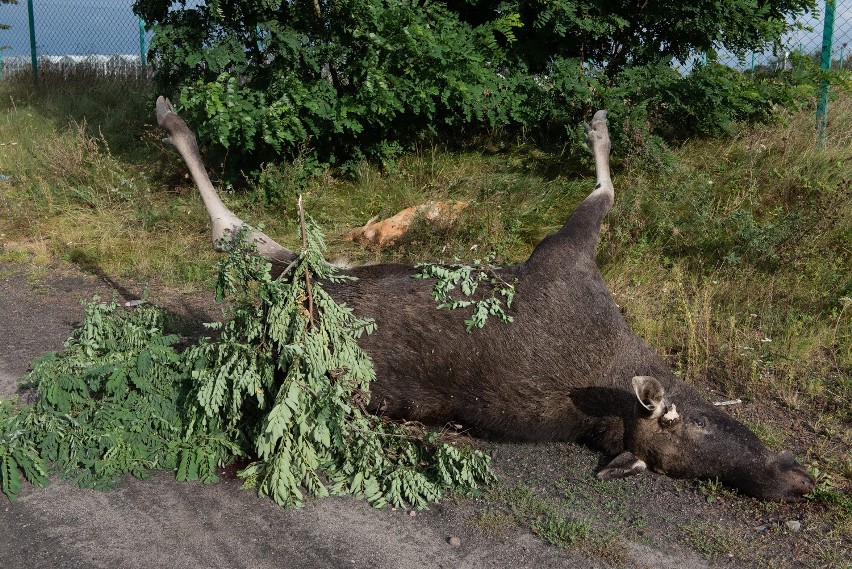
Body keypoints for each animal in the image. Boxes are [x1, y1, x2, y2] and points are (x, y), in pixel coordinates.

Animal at [156, 97, 816, 502]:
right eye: (695, 423)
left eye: (678, 462)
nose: (796, 480)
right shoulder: (565, 254)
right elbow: (604, 186)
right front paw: (599, 125)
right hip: (311, 280)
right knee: (231, 233)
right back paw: (172, 117)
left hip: (315, 300)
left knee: (247, 245)